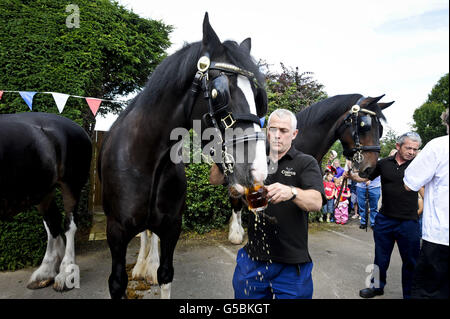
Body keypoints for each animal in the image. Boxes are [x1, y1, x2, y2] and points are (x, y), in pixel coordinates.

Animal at [0, 112, 92, 290]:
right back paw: (45, 272)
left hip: (71, 185)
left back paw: (66, 273)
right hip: (44, 192)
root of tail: (79, 129)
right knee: (52, 223)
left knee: (69, 225)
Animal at [99, 13, 268, 300]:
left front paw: (154, 267)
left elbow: (165, 274)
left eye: (258, 97)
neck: (148, 161)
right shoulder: (116, 232)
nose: (257, 168)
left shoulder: (171, 227)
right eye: (218, 92)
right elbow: (117, 282)